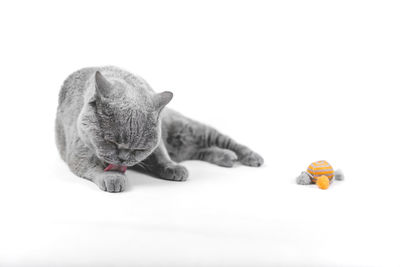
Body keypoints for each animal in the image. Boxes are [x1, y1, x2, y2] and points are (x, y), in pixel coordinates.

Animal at [54, 66, 264, 193]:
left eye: (139, 149)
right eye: (110, 142)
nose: (122, 158)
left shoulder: (157, 144)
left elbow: (161, 156)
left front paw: (172, 167)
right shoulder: (78, 152)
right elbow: (92, 167)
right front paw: (112, 177)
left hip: (194, 129)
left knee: (226, 140)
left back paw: (251, 157)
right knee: (203, 150)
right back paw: (227, 158)